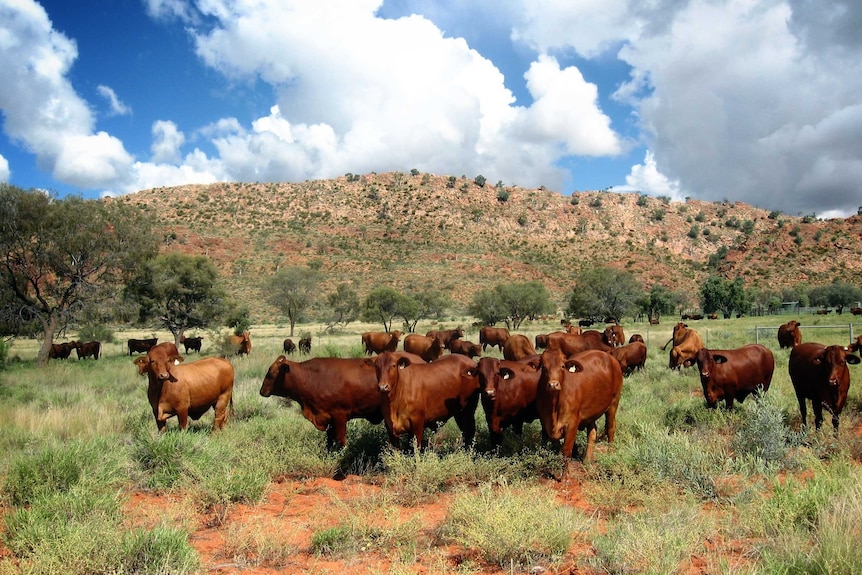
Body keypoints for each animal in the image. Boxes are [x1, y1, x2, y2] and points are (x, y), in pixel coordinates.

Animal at [260, 356, 404, 450]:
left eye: (270, 373)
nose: (261, 391)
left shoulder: (339, 416)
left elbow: (340, 441)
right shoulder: (328, 417)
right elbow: (329, 440)